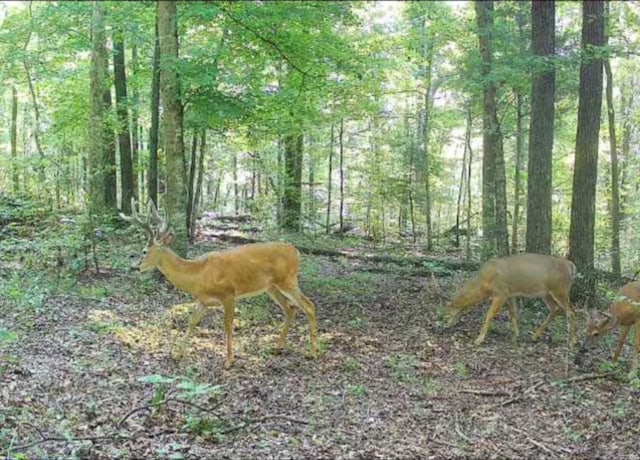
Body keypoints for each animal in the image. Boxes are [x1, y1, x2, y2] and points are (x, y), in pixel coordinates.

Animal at [119, 199, 318, 368]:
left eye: (144, 251)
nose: (134, 266)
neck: (198, 274)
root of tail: (295, 251)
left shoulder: (228, 293)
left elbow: (228, 324)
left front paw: (229, 360)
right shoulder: (203, 300)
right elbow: (192, 322)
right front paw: (178, 354)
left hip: (287, 280)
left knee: (309, 305)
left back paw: (313, 352)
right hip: (271, 287)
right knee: (290, 308)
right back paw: (277, 348)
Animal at [444, 253, 580, 346]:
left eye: (448, 311)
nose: (446, 325)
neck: (483, 284)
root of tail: (570, 265)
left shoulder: (501, 293)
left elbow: (489, 315)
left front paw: (479, 339)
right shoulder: (509, 294)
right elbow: (513, 313)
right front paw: (516, 334)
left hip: (560, 289)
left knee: (571, 311)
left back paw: (573, 341)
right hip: (546, 293)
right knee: (555, 309)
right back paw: (535, 336)